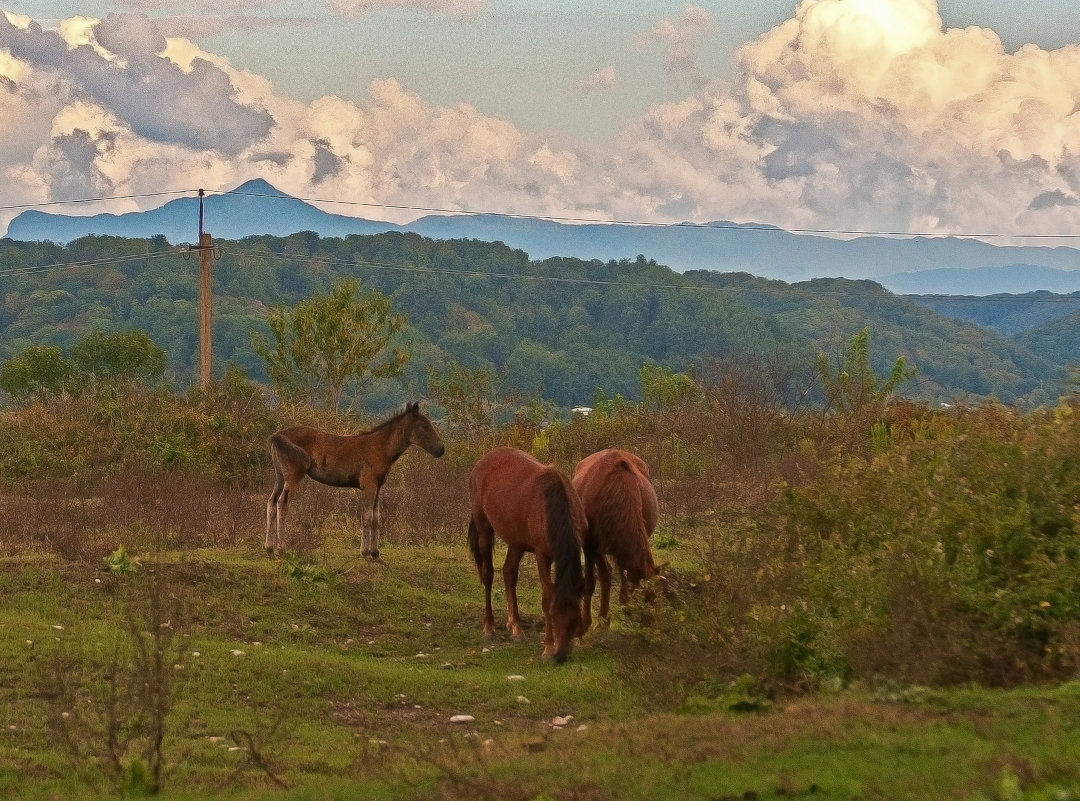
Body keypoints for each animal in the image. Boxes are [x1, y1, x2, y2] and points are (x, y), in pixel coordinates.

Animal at [264, 399, 442, 557]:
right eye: (425, 426)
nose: (441, 449)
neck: (381, 448)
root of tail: (276, 436)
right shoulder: (368, 484)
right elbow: (367, 516)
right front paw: (366, 552)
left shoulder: (378, 486)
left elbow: (376, 516)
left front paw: (375, 552)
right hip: (293, 475)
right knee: (282, 503)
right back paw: (282, 547)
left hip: (279, 477)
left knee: (271, 502)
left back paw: (269, 547)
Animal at [468, 444, 587, 664]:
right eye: (553, 616)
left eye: (575, 618)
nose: (560, 656)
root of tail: (483, 461)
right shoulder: (542, 556)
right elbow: (546, 597)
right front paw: (548, 648)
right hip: (484, 529)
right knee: (488, 574)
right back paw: (489, 626)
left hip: (516, 542)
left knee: (509, 573)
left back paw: (515, 627)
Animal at [574, 449, 656, 630]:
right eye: (643, 599)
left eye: (653, 598)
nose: (651, 626)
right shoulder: (591, 545)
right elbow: (593, 580)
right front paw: (587, 622)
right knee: (607, 574)